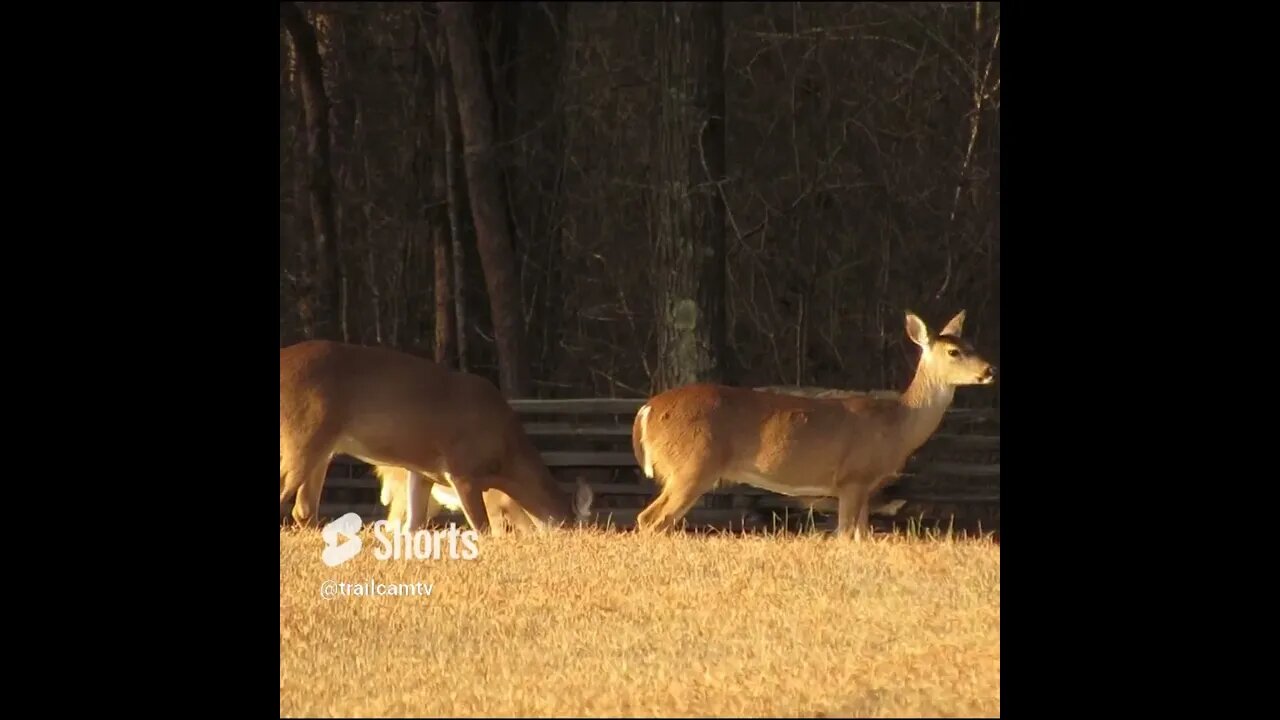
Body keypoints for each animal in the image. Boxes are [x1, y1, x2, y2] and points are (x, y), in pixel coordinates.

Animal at [634, 308, 993, 538]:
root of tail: (646, 411)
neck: (897, 425)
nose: (989, 370)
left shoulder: (866, 486)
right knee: (651, 518)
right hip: (691, 465)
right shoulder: (853, 477)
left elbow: (863, 536)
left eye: (972, 345)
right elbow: (845, 536)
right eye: (953, 352)